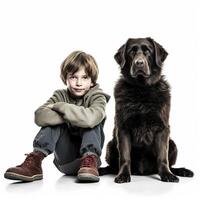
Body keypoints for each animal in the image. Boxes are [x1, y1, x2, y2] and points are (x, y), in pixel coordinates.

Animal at [99, 37, 195, 183]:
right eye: (131, 52)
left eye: (148, 51)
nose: (139, 63)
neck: (142, 89)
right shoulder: (123, 128)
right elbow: (125, 157)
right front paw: (123, 175)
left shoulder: (162, 128)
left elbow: (162, 157)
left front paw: (167, 174)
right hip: (110, 145)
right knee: (112, 166)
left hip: (173, 144)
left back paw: (182, 171)